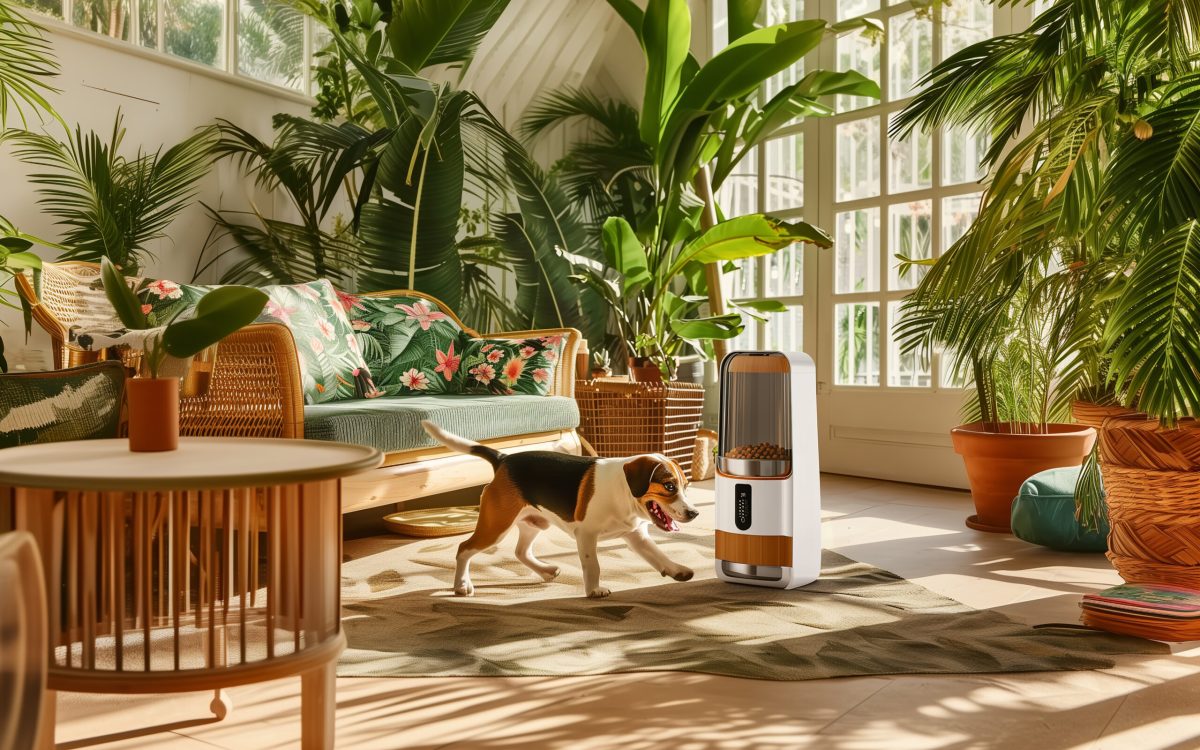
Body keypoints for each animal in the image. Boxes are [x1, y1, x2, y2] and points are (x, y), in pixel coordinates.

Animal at [424, 422, 700, 597]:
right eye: (669, 486)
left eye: (686, 486)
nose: (694, 514)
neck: (624, 493)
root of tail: (503, 458)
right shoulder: (586, 535)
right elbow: (593, 565)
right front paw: (594, 590)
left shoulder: (636, 535)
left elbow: (658, 555)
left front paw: (676, 570)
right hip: (496, 526)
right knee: (464, 549)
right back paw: (462, 585)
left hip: (534, 523)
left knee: (520, 552)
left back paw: (546, 570)